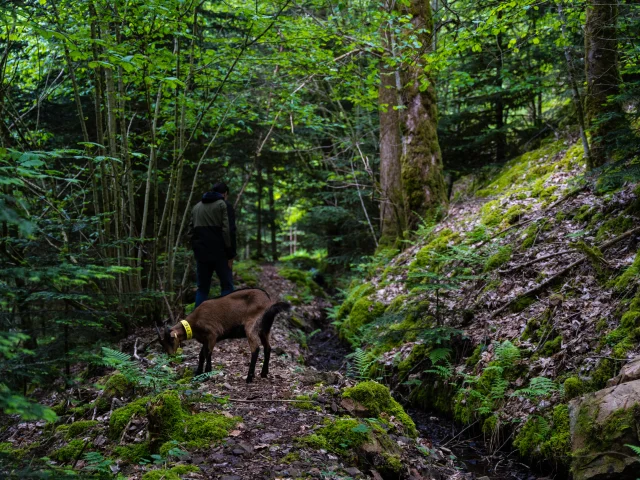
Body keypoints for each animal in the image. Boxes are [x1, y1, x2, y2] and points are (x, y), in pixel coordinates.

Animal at [157, 288, 290, 382]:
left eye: (171, 340)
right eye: (162, 344)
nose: (170, 357)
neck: (194, 322)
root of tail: (268, 301)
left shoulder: (212, 334)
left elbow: (208, 353)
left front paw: (207, 374)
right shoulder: (205, 339)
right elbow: (201, 354)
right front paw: (198, 373)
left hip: (251, 326)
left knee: (255, 349)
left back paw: (249, 378)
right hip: (264, 330)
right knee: (267, 348)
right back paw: (263, 373)